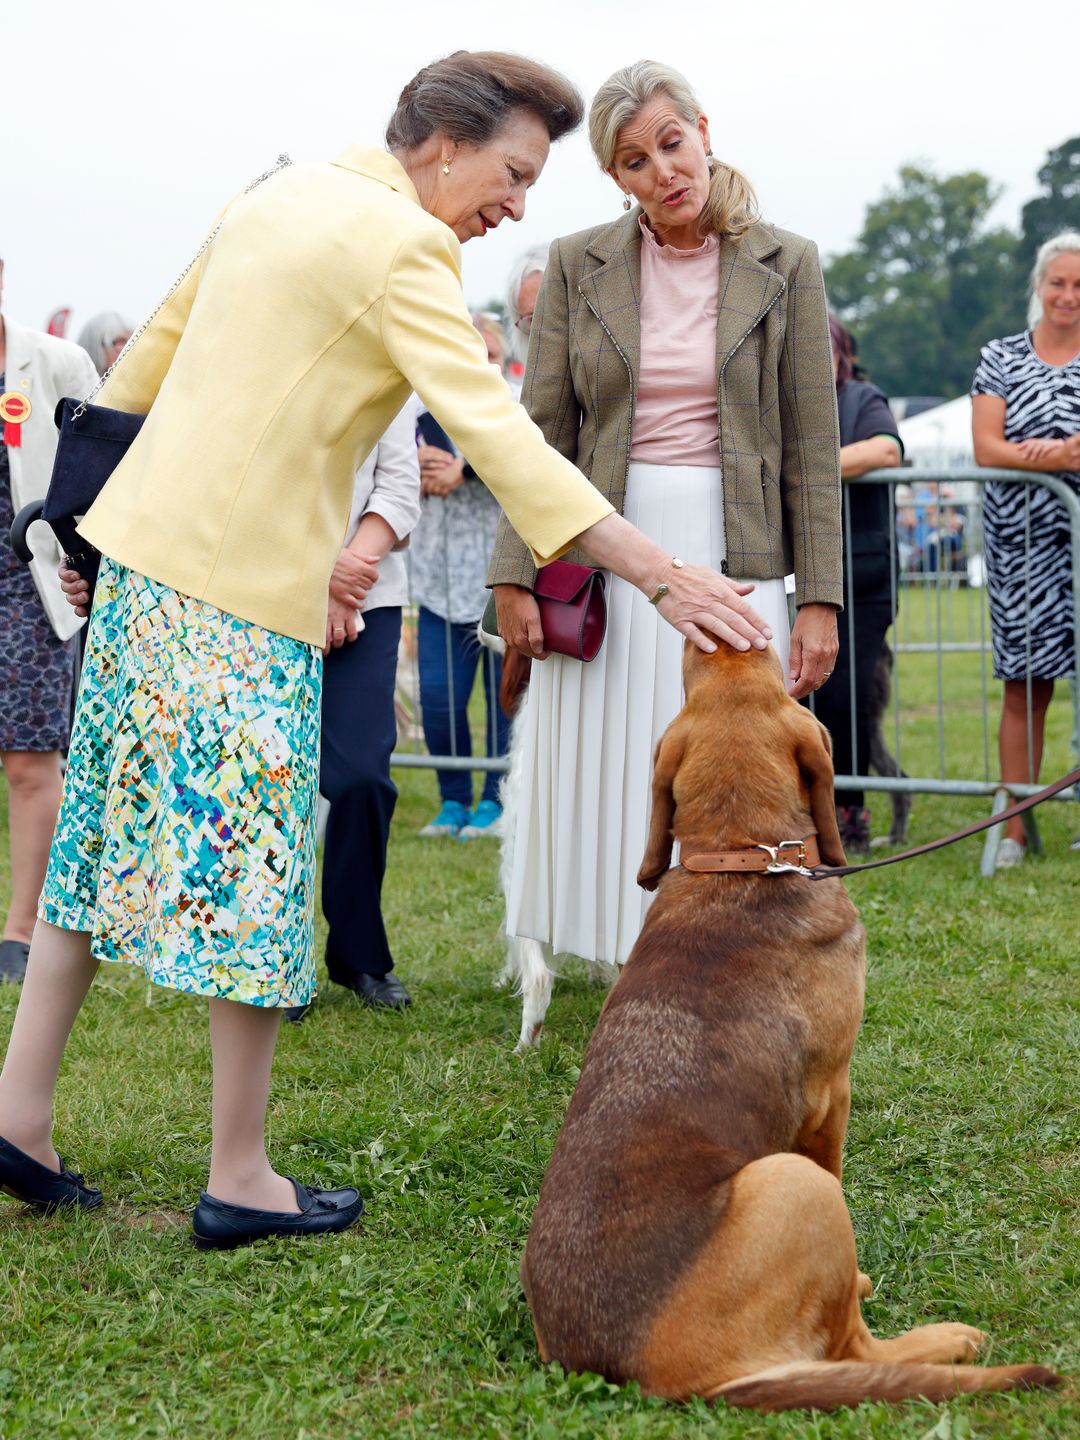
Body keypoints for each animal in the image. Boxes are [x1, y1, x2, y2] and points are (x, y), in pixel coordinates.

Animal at [521, 648, 1059, 1411]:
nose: (728, 633)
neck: (741, 856)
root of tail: (659, 1379)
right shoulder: (833, 1097)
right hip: (798, 1185)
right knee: (854, 1345)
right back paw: (943, 1339)